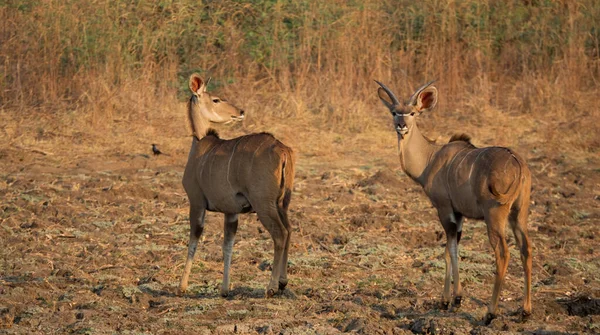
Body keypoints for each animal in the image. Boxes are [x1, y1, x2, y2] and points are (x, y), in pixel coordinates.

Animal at [178, 74, 296, 300]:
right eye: (216, 99)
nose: (240, 112)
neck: (200, 145)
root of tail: (282, 149)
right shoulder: (231, 211)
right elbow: (228, 244)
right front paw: (224, 289)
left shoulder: (196, 202)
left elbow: (194, 239)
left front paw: (182, 286)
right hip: (282, 203)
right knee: (289, 229)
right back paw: (283, 282)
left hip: (264, 203)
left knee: (280, 233)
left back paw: (271, 287)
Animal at [378, 80, 532, 324]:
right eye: (394, 112)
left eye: (412, 112)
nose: (401, 126)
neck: (430, 159)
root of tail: (518, 164)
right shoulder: (458, 215)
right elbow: (452, 249)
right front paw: (452, 299)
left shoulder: (445, 210)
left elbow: (449, 250)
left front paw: (451, 300)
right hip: (519, 213)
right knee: (526, 249)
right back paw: (525, 311)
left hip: (495, 215)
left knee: (502, 253)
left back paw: (490, 313)